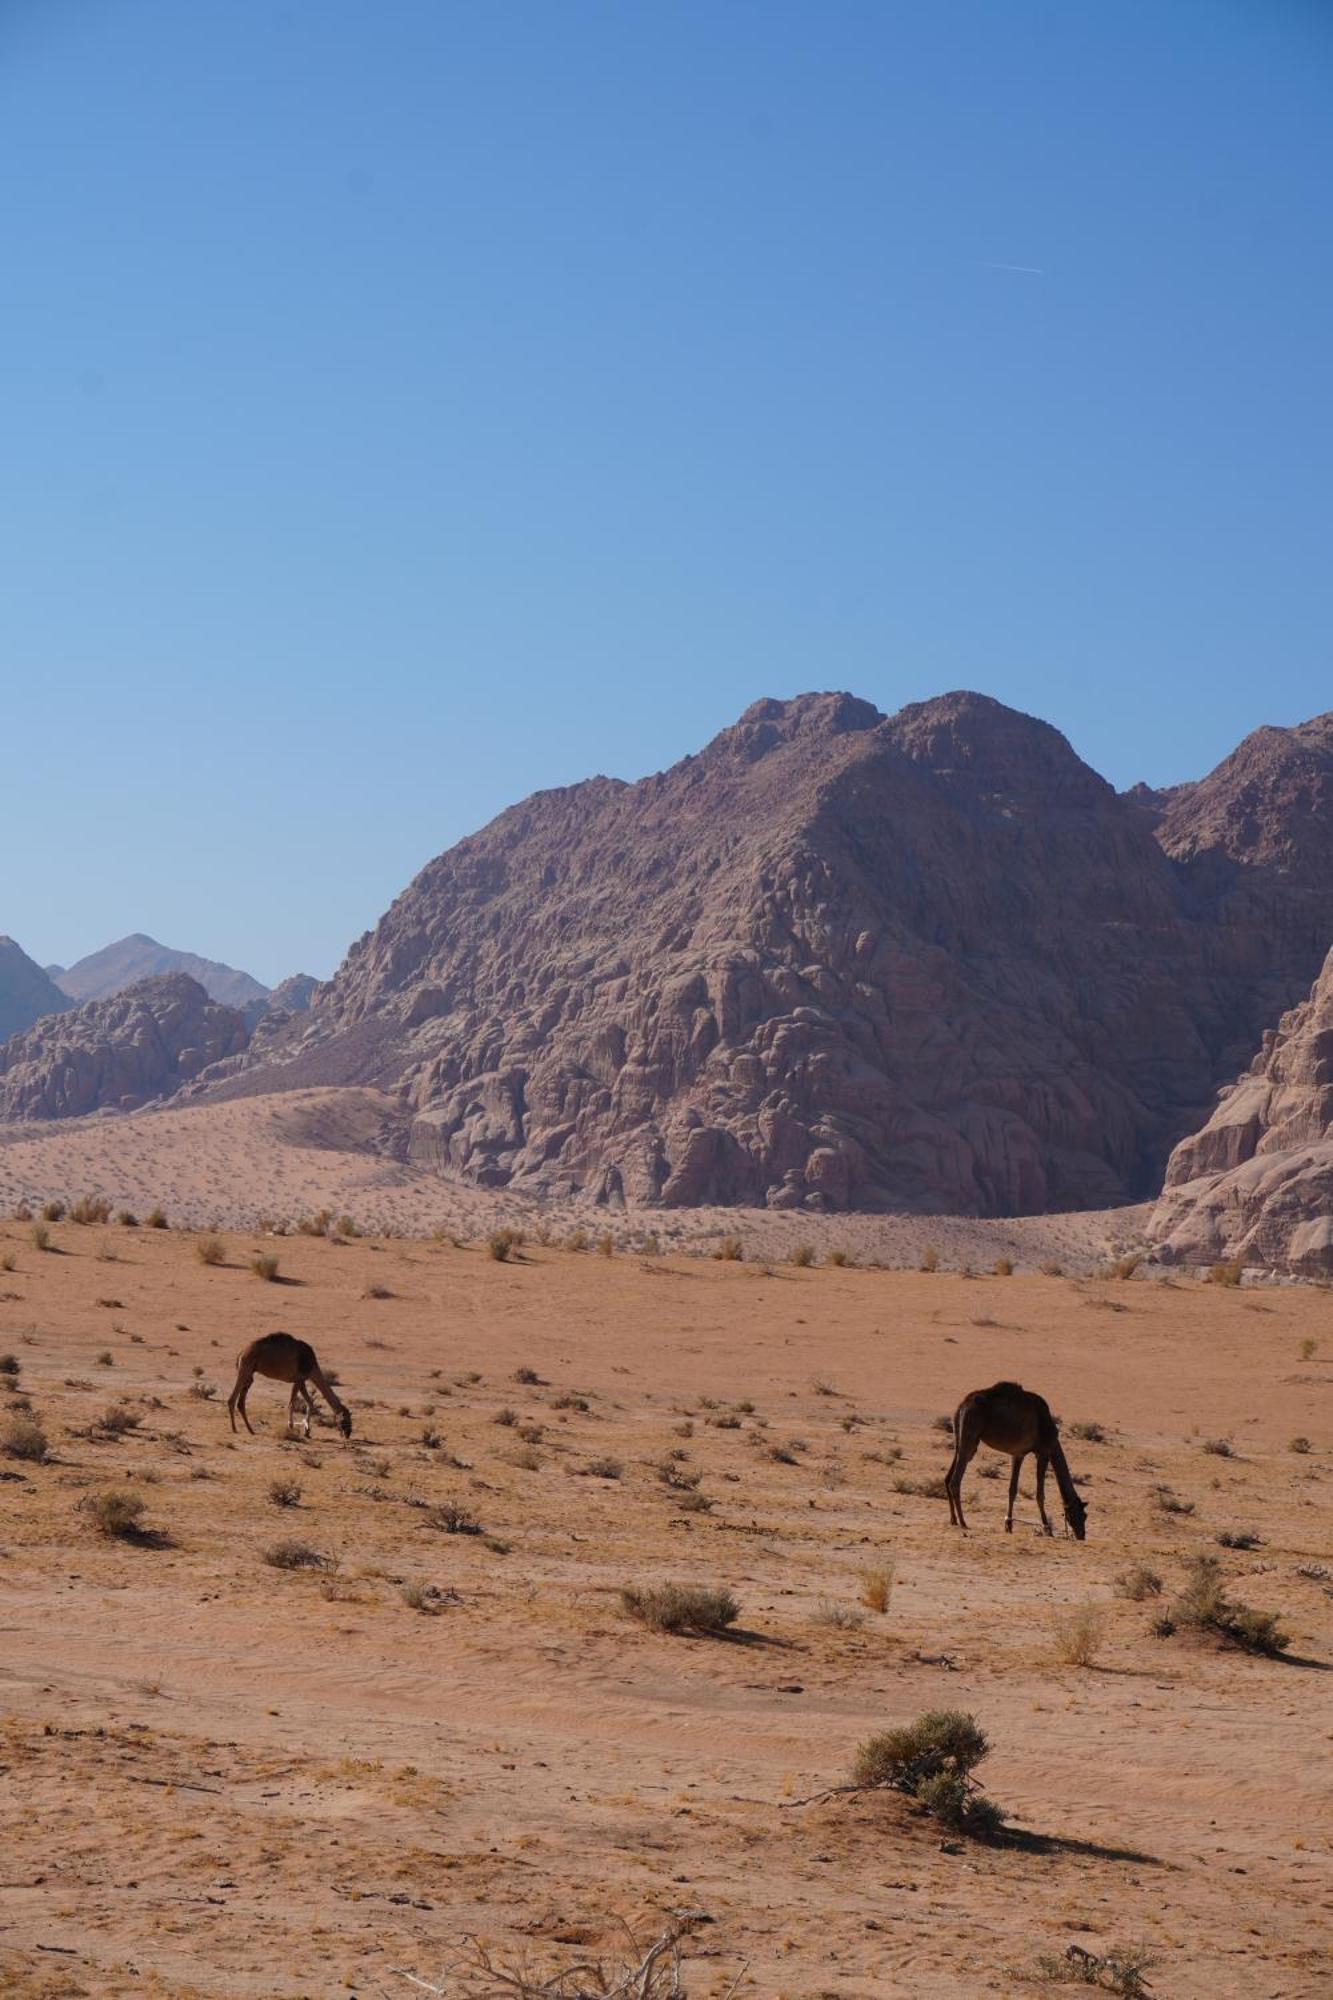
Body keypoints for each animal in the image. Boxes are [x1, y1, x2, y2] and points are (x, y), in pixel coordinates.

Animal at [944, 1384, 1080, 1536]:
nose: (1082, 1535)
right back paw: (963, 1522)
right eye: (1081, 1514)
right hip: (970, 1432)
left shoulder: (1018, 1454)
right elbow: (1040, 1494)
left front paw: (1008, 1525)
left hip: (960, 1435)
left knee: (948, 1477)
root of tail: (962, 1405)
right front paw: (1047, 1528)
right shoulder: (1044, 1452)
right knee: (955, 1480)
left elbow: (1012, 1489)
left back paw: (953, 1519)